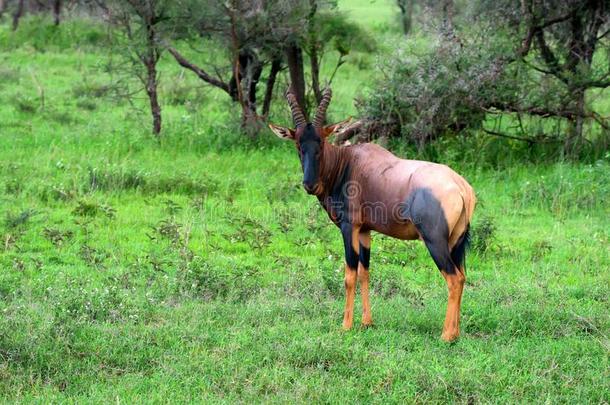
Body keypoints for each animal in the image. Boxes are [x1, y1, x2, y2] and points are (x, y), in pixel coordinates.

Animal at [270, 87, 476, 340]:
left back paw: (445, 336)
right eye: (299, 144)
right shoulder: (365, 231)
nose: (309, 184)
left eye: (321, 142)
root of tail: (461, 187)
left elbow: (349, 275)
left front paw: (346, 326)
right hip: (456, 241)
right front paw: (367, 322)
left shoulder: (349, 227)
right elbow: (364, 272)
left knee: (453, 278)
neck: (349, 164)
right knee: (462, 276)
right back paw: (455, 333)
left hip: (434, 240)